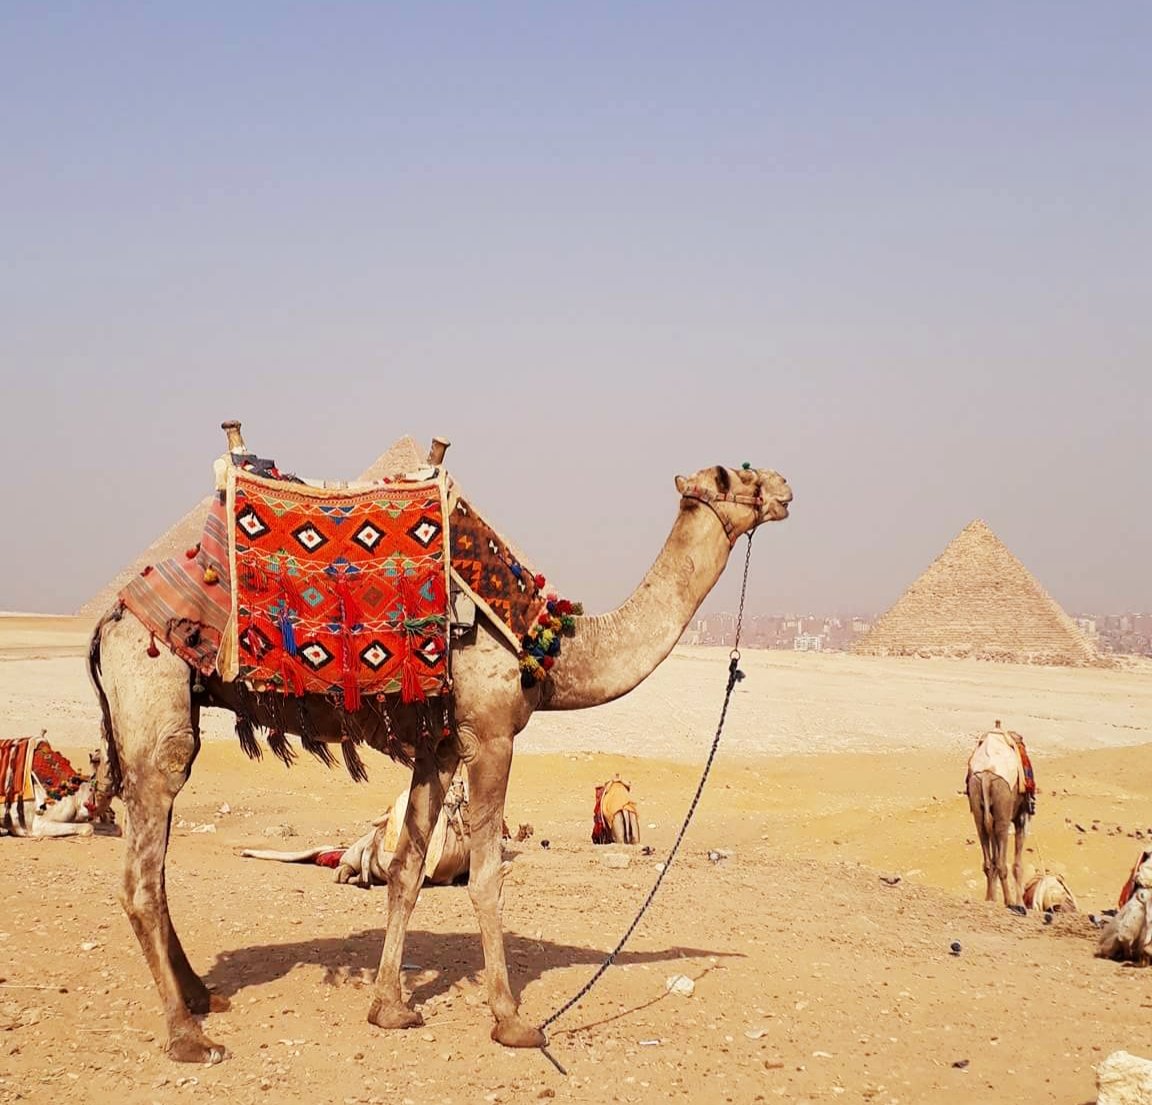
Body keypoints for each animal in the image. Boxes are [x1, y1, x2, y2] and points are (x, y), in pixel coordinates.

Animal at [87, 444, 792, 1069]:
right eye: (732, 476)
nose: (785, 487)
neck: (550, 649)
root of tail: (109, 621)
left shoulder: (439, 749)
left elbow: (405, 872)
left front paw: (390, 1007)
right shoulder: (491, 736)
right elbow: (486, 876)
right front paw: (511, 1020)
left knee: (157, 864)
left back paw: (201, 997)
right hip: (154, 696)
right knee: (140, 876)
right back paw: (188, 1037)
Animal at [963, 723, 1036, 912]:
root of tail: (988, 773)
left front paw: (992, 898)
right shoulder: (1022, 817)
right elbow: (1017, 864)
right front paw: (1020, 903)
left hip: (978, 802)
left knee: (989, 859)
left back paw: (990, 899)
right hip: (1003, 803)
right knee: (1002, 863)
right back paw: (1011, 902)